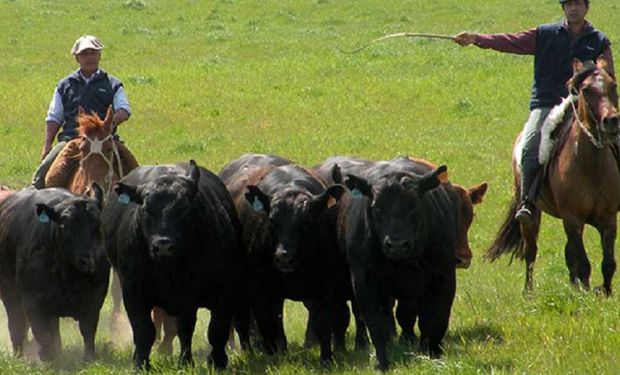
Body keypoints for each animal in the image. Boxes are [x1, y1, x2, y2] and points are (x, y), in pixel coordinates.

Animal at [0, 187, 109, 362]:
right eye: (65, 226)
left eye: (97, 224)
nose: (87, 261)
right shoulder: (33, 301)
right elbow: (43, 333)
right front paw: (46, 355)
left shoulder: (94, 300)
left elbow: (87, 330)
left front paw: (88, 358)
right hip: (9, 292)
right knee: (16, 324)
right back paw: (18, 355)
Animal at [101, 161, 245, 370]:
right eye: (146, 209)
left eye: (183, 209)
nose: (163, 245)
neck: (171, 271)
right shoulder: (134, 293)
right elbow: (144, 331)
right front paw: (141, 363)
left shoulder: (222, 292)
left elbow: (216, 330)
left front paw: (217, 361)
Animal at [486, 60, 616, 296]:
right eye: (586, 90)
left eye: (613, 85)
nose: (611, 121)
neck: (590, 163)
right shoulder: (573, 218)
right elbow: (583, 263)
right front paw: (586, 293)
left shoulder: (609, 219)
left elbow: (608, 262)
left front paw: (606, 293)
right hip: (531, 214)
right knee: (531, 251)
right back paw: (529, 292)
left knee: (568, 254)